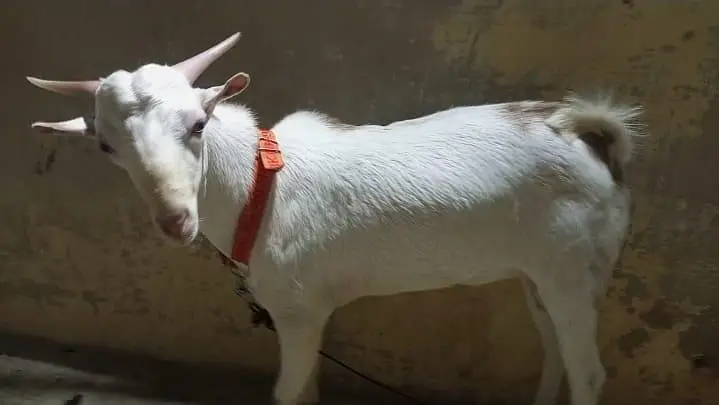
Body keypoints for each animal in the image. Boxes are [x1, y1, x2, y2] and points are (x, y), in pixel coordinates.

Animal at [27, 33, 643, 405]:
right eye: (106, 146)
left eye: (198, 124)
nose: (176, 220)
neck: (257, 185)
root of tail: (586, 133)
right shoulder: (305, 311)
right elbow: (307, 391)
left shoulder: (299, 309)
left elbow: (288, 390)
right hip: (540, 274)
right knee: (554, 345)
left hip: (572, 265)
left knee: (588, 370)